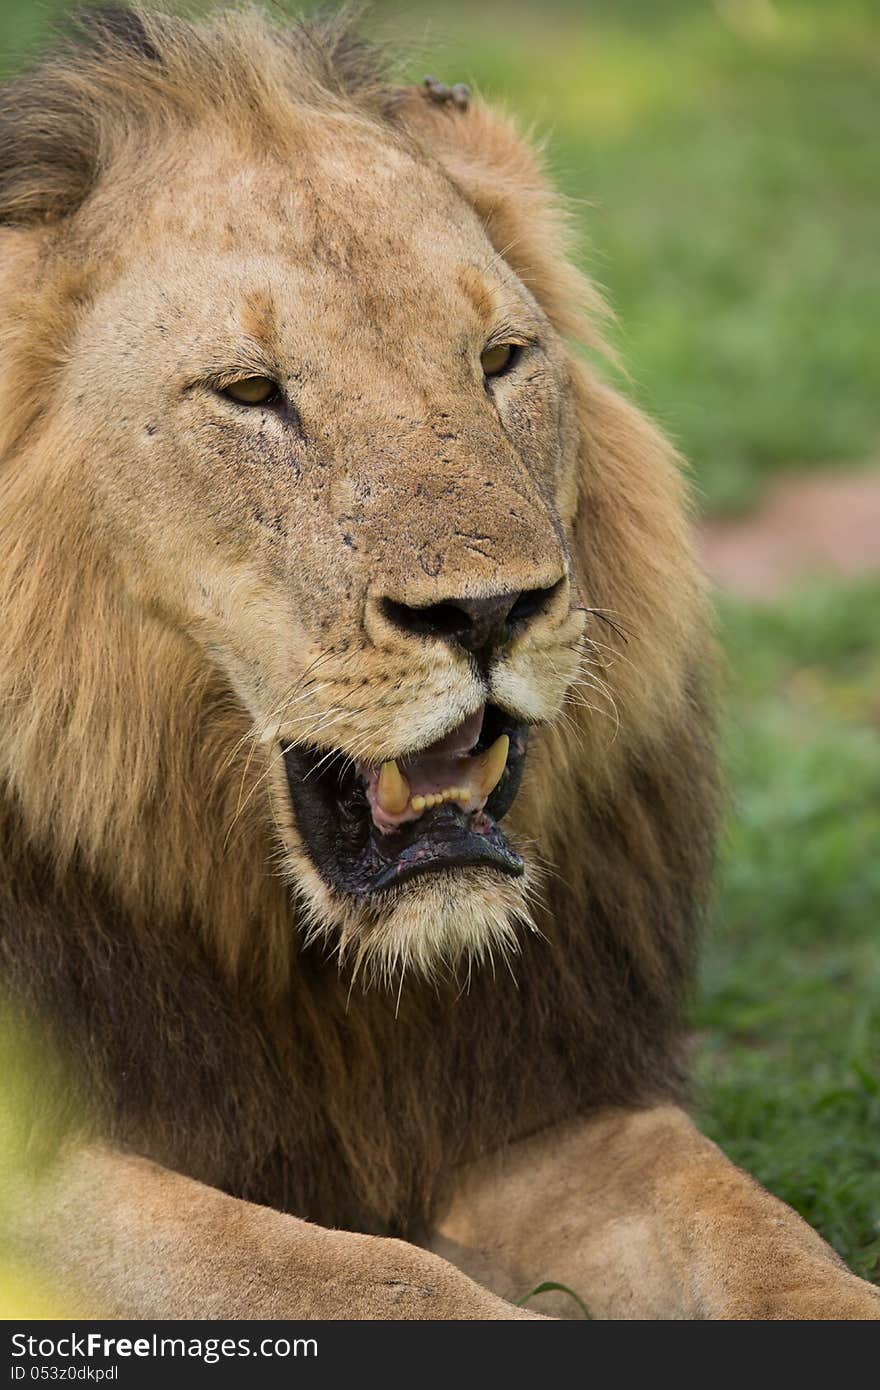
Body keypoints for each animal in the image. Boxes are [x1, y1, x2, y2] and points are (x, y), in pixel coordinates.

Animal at [0, 5, 873, 1317]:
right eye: (250, 391)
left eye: (500, 360)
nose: (489, 610)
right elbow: (356, 1274)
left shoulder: (536, 1100)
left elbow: (755, 1231)